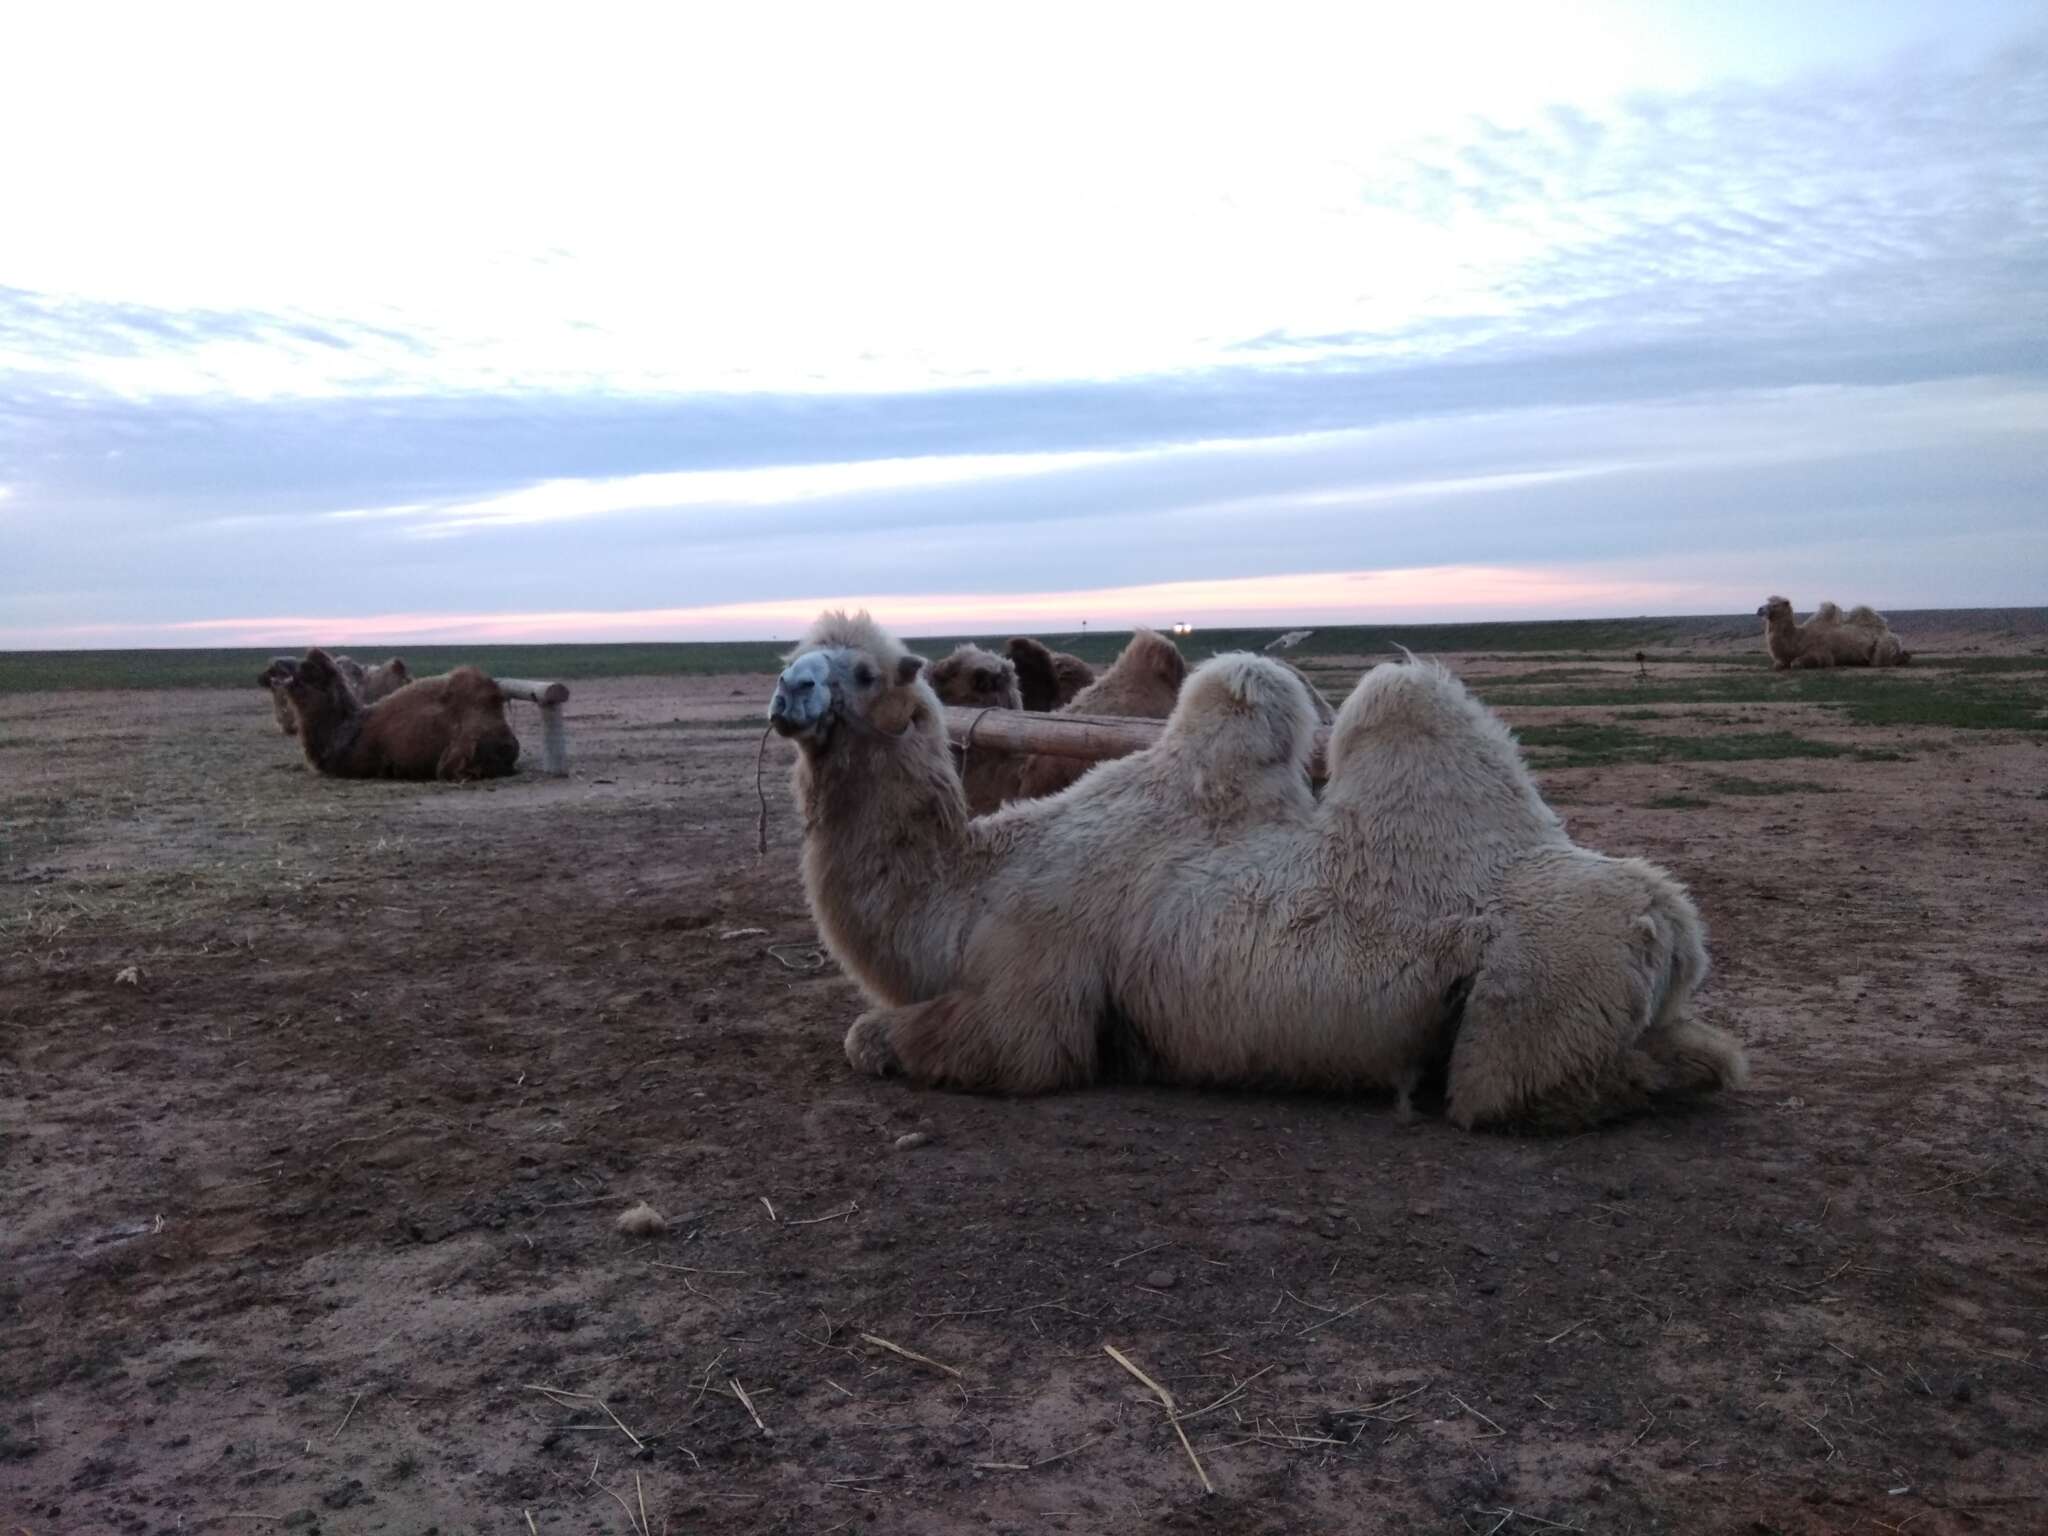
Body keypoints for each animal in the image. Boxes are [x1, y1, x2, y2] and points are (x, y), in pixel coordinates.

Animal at [770, 610, 1744, 1130]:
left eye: (863, 670)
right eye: (792, 657)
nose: (787, 694)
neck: (976, 887)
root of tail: (1673, 921)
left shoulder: (1030, 997)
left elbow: (883, 1039)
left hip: (1532, 1004)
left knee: (1518, 1091)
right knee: (1709, 1053)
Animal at [1761, 593, 1900, 667]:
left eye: (1775, 604)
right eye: (1767, 602)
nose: (1759, 610)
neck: (1799, 640)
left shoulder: (1823, 654)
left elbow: (1797, 663)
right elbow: (1778, 665)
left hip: (1883, 646)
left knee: (1879, 661)